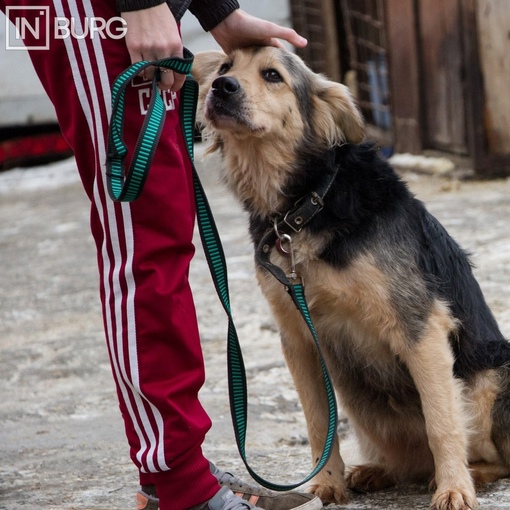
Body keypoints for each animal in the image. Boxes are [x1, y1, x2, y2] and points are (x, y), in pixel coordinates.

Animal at [191, 45, 510, 508]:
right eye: (226, 67)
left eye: (272, 75)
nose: (220, 86)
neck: (305, 206)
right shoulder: (299, 339)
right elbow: (319, 423)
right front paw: (327, 484)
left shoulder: (420, 326)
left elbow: (441, 422)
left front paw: (454, 488)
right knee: (404, 460)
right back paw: (377, 471)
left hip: (489, 377)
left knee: (495, 456)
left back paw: (467, 474)